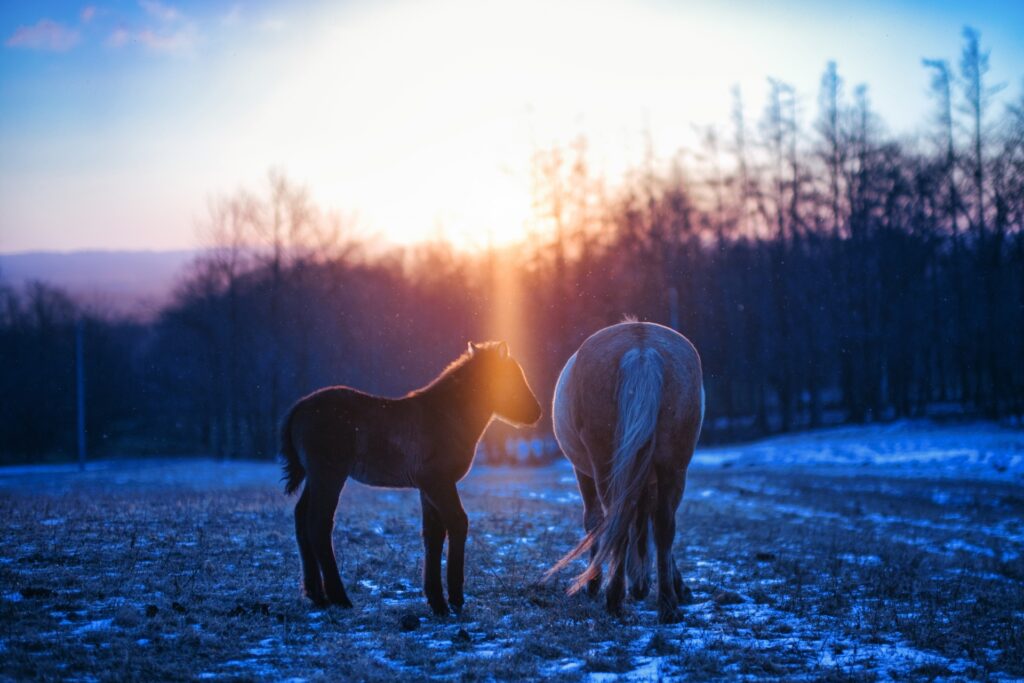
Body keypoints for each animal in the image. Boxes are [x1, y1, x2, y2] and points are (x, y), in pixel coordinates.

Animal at [544, 321, 704, 626]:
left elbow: (595, 522)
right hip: (673, 465)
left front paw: (595, 584)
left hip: (605, 466)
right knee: (664, 525)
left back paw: (614, 599)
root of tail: (641, 350)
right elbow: (648, 525)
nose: (640, 588)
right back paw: (667, 605)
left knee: (616, 520)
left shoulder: (585, 474)